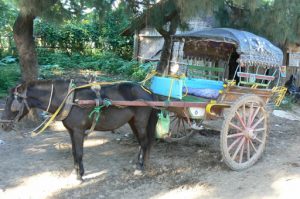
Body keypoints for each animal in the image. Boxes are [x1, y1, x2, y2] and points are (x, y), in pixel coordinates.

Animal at [0, 79, 159, 180]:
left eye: (11, 101)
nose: (3, 125)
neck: (69, 100)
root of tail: (147, 91)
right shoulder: (71, 131)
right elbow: (74, 152)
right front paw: (75, 172)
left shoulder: (78, 131)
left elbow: (80, 153)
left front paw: (79, 176)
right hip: (132, 122)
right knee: (141, 142)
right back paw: (139, 162)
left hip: (140, 122)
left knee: (144, 142)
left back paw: (139, 167)